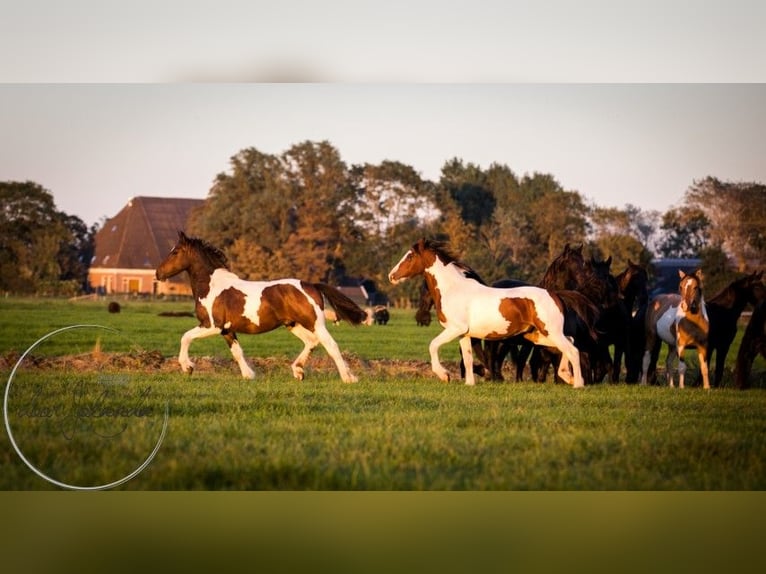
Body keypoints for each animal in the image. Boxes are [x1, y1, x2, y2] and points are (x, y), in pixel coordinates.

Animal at [154, 232, 368, 384]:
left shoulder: (212, 325)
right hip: (293, 324)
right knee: (311, 342)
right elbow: (237, 352)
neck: (212, 286)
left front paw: (187, 367)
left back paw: (348, 378)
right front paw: (249, 375)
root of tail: (311, 285)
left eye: (175, 252)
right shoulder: (227, 330)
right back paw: (298, 371)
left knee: (331, 345)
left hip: (315, 323)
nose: (158, 273)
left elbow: (186, 337)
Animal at [390, 236, 588, 390]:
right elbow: (468, 359)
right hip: (537, 336)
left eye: (410, 256)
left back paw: (578, 383)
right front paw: (469, 383)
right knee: (569, 344)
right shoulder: (464, 334)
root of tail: (555, 295)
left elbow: (433, 345)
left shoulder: (454, 329)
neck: (453, 289)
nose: (391, 276)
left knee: (572, 350)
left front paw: (444, 375)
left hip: (550, 332)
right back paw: (567, 376)